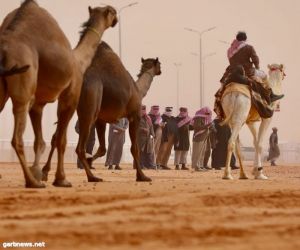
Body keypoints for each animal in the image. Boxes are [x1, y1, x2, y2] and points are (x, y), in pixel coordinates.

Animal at [0, 0, 117, 188]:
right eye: (111, 12)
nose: (116, 18)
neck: (79, 61)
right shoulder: (70, 97)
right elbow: (61, 140)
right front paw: (60, 179)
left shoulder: (39, 103)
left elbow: (41, 141)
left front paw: (40, 171)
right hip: (23, 89)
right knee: (16, 138)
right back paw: (32, 182)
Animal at [42, 41, 162, 182]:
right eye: (159, 64)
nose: (160, 70)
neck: (138, 90)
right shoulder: (135, 115)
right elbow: (135, 148)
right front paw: (142, 176)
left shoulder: (101, 120)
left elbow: (102, 148)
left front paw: (90, 161)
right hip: (91, 104)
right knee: (80, 147)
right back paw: (92, 177)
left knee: (56, 137)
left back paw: (45, 172)